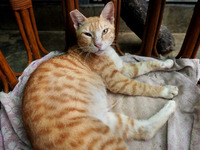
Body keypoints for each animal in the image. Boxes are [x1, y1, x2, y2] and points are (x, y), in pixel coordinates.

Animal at [21, 1, 178, 149]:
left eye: (105, 31)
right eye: (87, 34)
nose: (98, 44)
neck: (105, 53)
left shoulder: (123, 68)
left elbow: (146, 64)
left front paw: (166, 62)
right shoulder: (117, 81)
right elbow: (142, 86)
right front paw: (166, 89)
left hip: (111, 120)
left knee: (144, 130)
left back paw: (170, 106)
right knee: (144, 131)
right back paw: (171, 104)